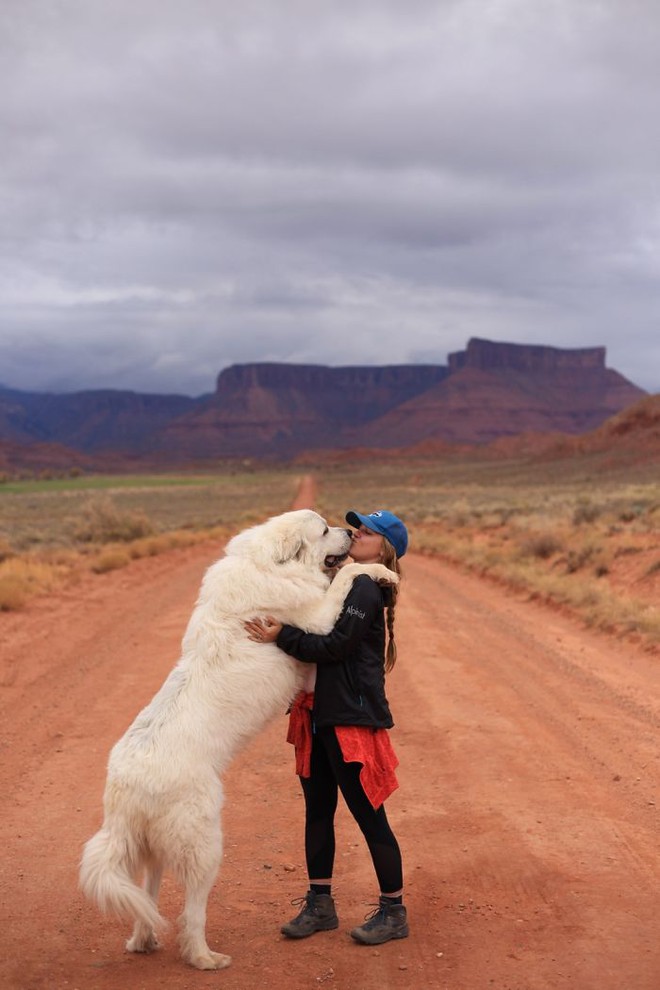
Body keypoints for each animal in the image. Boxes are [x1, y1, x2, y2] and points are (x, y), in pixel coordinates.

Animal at [78, 512, 398, 968]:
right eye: (323, 531)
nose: (352, 532)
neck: (269, 566)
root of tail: (125, 787)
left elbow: (341, 575)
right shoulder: (319, 617)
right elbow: (346, 576)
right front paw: (382, 572)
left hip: (151, 848)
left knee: (146, 897)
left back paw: (145, 939)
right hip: (205, 843)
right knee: (191, 911)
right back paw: (204, 957)